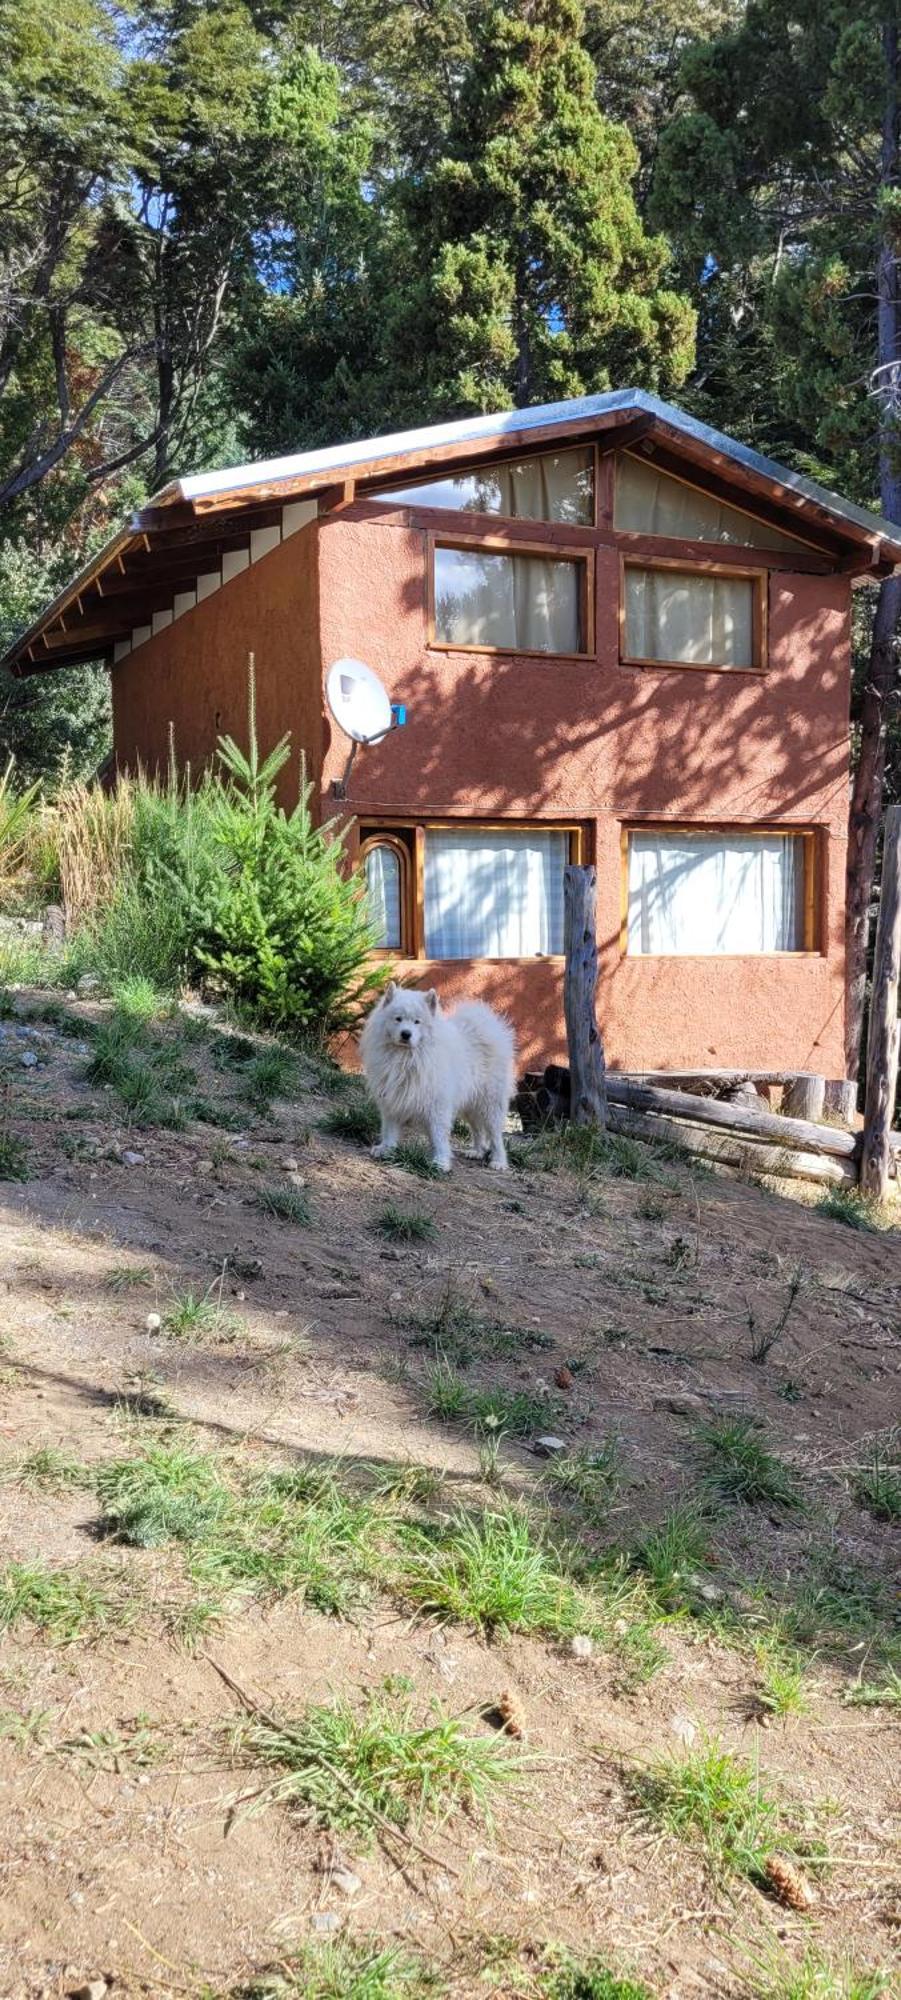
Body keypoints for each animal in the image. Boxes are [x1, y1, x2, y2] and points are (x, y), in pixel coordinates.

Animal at [356, 984, 512, 1168]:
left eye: (417, 1021)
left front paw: (441, 1161)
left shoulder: (438, 1105)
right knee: (477, 1129)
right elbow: (389, 1129)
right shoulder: (392, 1100)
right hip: (470, 1104)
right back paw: (477, 1152)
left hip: (490, 1104)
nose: (406, 1034)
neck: (406, 1058)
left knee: (495, 1136)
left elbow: (439, 1136)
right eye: (398, 1019)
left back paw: (498, 1161)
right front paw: (386, 1149)